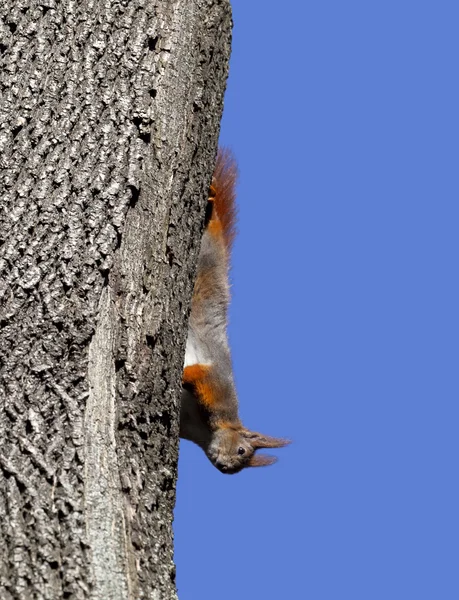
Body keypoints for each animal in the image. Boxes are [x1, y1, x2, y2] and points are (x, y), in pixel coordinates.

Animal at [181, 149, 292, 474]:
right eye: (242, 450)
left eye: (242, 463)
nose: (226, 468)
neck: (202, 430)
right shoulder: (218, 387)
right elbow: (198, 373)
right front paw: (183, 375)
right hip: (208, 250)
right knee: (213, 221)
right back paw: (211, 198)